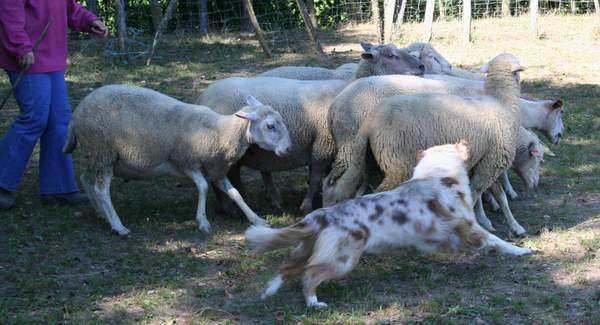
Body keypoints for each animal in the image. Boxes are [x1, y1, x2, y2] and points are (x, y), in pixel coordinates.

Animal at [63, 85, 292, 234]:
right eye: (270, 126)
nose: (289, 149)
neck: (219, 131)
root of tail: (76, 114)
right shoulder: (186, 161)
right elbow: (203, 187)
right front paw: (202, 221)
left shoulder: (216, 169)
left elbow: (236, 194)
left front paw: (256, 219)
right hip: (103, 152)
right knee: (102, 190)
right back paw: (118, 226)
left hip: (95, 155)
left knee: (86, 180)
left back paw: (100, 213)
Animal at [195, 41, 424, 213]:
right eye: (391, 55)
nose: (422, 66)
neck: (348, 87)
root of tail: (202, 97)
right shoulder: (323, 145)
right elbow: (315, 179)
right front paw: (307, 205)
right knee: (228, 175)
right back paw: (234, 205)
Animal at [244, 142, 536, 306]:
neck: (440, 175)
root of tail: (322, 214)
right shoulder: (469, 229)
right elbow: (497, 241)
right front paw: (522, 250)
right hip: (342, 260)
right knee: (309, 275)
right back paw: (314, 303)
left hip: (306, 249)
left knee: (286, 268)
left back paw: (267, 292)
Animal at [324, 53, 528, 235]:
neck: (501, 103)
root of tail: (369, 124)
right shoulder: (492, 163)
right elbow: (478, 193)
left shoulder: (481, 162)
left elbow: (498, 195)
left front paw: (513, 226)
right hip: (396, 163)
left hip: (363, 159)